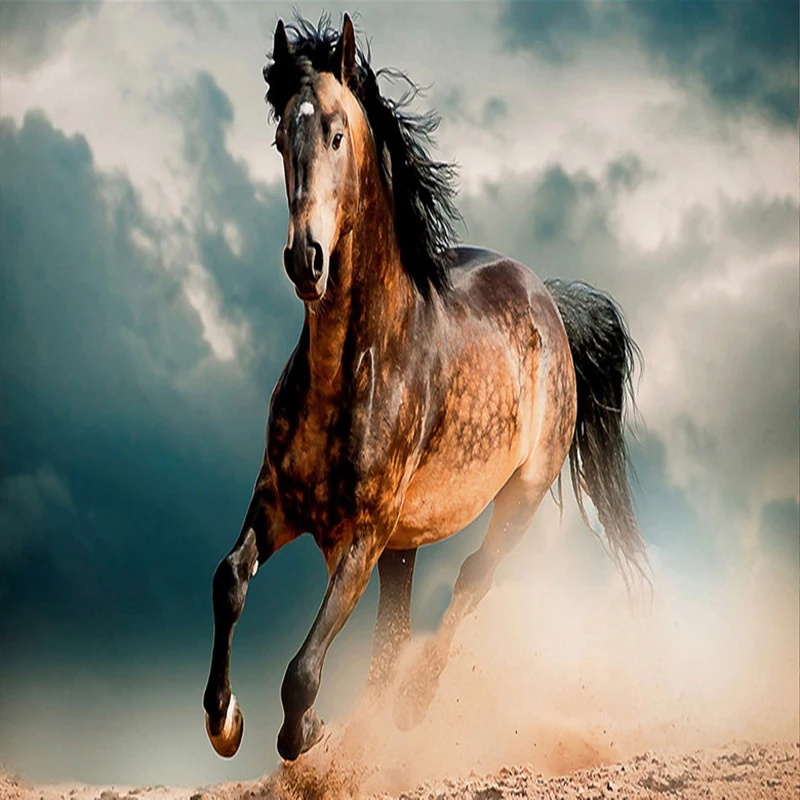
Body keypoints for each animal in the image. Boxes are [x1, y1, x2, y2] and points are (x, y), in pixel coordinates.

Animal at [202, 13, 648, 763]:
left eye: (336, 133)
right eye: (280, 138)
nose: (305, 260)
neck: (352, 367)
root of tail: (551, 304)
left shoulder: (363, 534)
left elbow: (303, 671)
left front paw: (307, 732)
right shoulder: (279, 501)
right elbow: (229, 579)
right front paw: (224, 720)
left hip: (518, 499)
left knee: (471, 580)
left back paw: (411, 705)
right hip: (406, 545)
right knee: (395, 629)